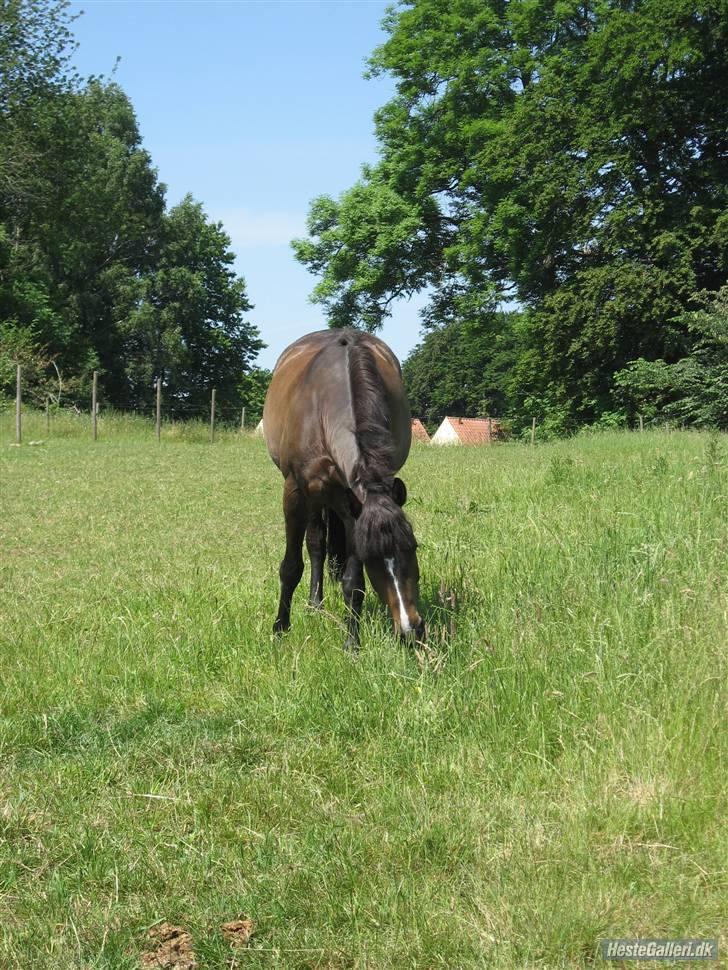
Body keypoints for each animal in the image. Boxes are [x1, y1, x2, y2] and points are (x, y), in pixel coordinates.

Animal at [263, 328, 424, 650]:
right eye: (373, 558)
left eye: (412, 547)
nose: (410, 629)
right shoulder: (295, 495)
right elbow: (291, 567)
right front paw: (280, 628)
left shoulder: (354, 509)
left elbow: (354, 583)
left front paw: (352, 642)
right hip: (314, 500)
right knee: (316, 545)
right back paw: (315, 603)